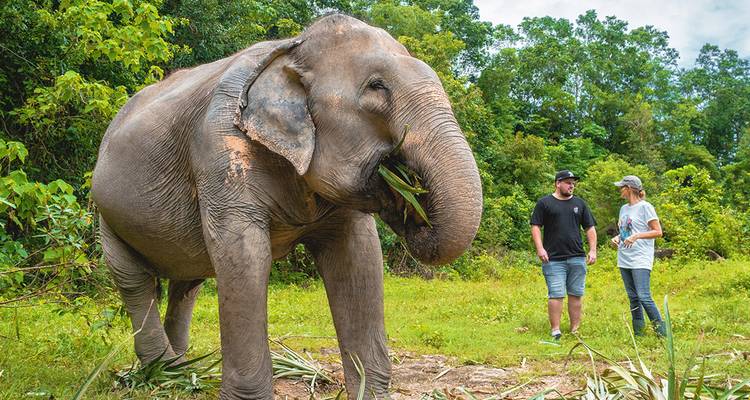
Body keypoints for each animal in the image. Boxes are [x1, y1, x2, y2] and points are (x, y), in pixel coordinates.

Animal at [91, 13, 482, 399]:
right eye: (377, 87)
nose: (410, 196)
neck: (292, 49)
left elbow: (358, 256)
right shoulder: (220, 150)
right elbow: (244, 256)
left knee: (187, 285)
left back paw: (183, 372)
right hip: (106, 213)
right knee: (134, 280)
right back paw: (162, 372)